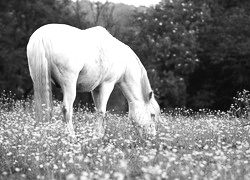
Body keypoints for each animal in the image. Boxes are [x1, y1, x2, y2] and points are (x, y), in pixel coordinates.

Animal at [26, 23, 160, 136]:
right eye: (152, 115)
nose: (152, 137)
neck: (123, 60)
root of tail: (42, 36)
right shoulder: (107, 85)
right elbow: (102, 112)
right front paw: (98, 136)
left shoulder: (95, 89)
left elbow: (98, 111)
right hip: (69, 85)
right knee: (66, 109)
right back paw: (72, 137)